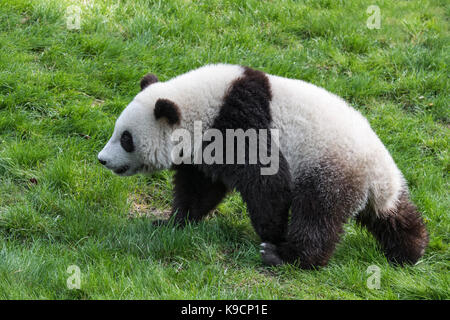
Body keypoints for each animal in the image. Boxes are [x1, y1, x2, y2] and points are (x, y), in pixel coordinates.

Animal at [98, 63, 428, 268]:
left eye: (126, 139)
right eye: (117, 130)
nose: (102, 159)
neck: (202, 104)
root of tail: (378, 176)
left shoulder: (239, 121)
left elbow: (266, 180)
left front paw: (271, 232)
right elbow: (199, 188)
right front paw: (171, 222)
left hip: (329, 165)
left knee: (317, 213)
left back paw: (284, 256)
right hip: (372, 185)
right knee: (391, 215)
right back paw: (410, 250)